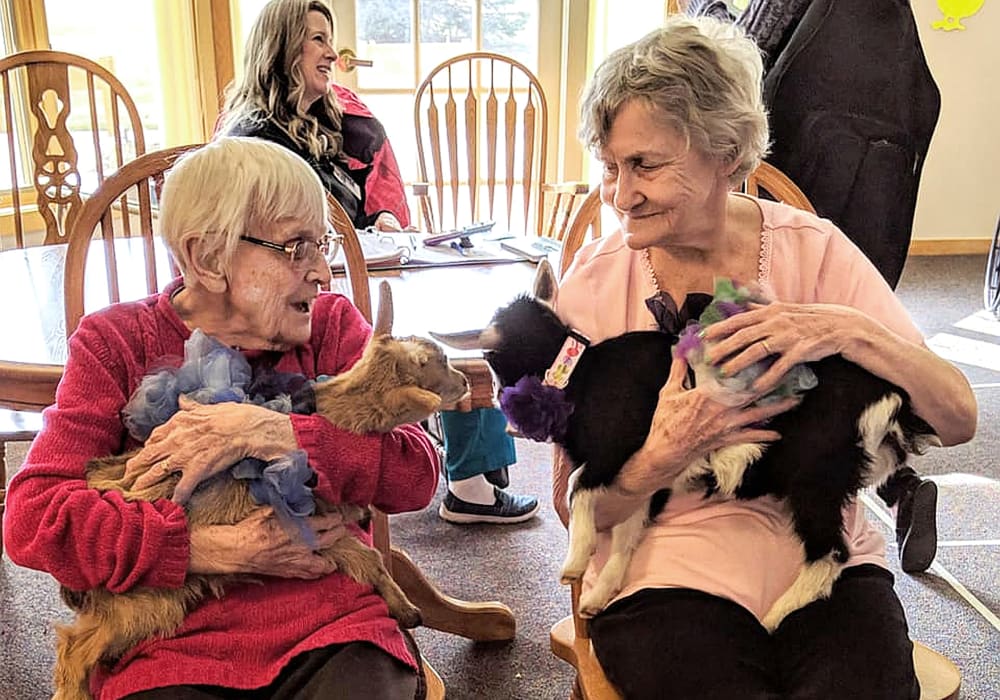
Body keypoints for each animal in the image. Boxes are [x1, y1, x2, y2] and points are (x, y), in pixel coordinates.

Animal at [434, 262, 940, 628]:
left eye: (489, 357)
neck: (573, 372)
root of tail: (885, 398)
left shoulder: (613, 447)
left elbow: (579, 488)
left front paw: (575, 564)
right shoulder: (650, 470)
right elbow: (628, 530)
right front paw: (599, 595)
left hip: (814, 478)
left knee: (830, 554)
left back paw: (773, 617)